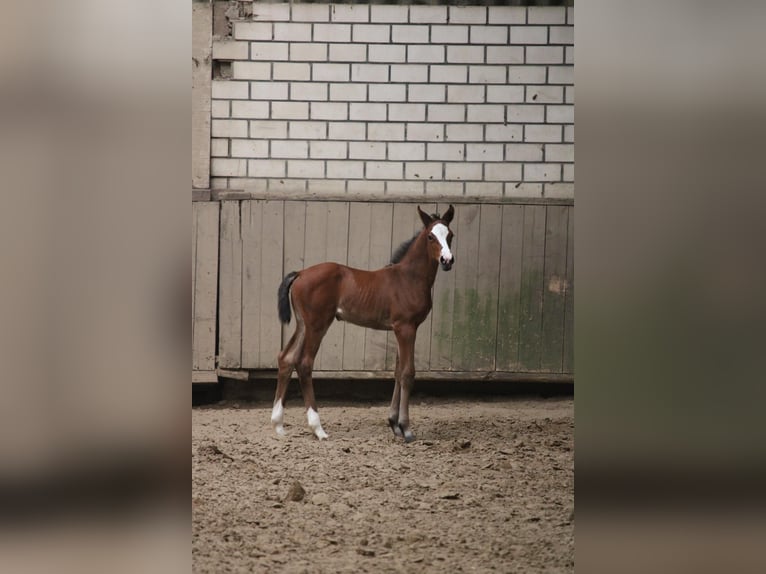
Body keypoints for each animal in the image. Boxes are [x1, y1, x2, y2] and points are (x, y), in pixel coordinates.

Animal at [271, 204, 455, 443]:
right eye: (431, 236)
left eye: (450, 235)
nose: (447, 260)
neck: (408, 277)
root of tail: (300, 273)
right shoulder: (407, 328)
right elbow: (408, 373)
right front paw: (406, 429)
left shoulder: (398, 329)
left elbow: (397, 372)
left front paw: (394, 424)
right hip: (317, 324)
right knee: (304, 363)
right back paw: (318, 429)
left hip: (303, 324)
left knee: (286, 358)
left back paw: (278, 425)